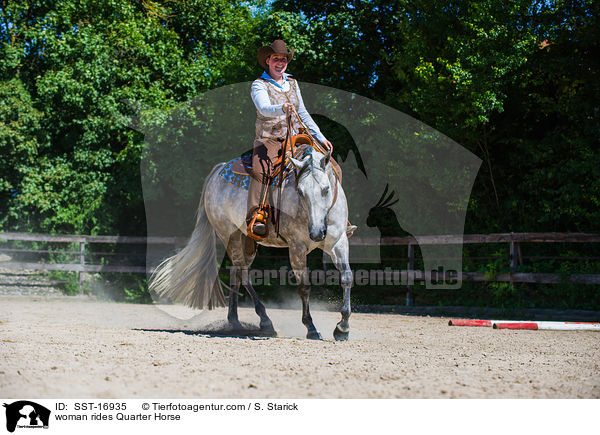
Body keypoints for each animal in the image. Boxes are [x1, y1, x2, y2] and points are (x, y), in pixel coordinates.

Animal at [150, 148, 354, 342]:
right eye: (300, 192)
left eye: (326, 189)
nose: (317, 233)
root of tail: (219, 171)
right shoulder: (297, 248)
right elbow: (304, 287)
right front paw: (311, 328)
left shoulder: (339, 242)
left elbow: (347, 277)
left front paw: (342, 328)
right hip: (229, 235)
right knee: (243, 273)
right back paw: (265, 321)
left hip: (245, 240)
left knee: (235, 272)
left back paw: (234, 320)